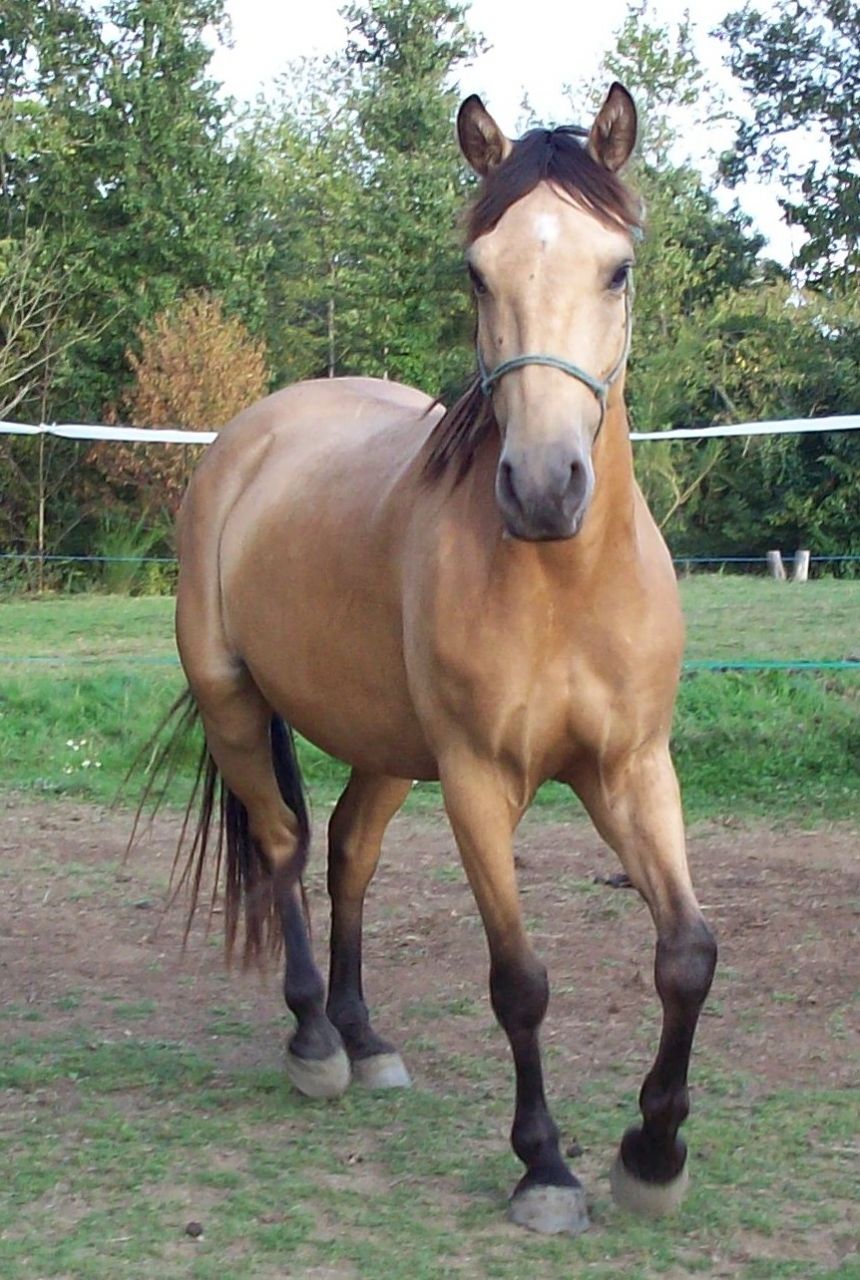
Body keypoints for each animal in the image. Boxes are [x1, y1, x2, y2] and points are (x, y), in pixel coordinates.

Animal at [165, 83, 717, 1237]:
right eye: (477, 271)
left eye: (617, 267)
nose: (544, 486)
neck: (562, 584)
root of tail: (253, 436)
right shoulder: (476, 781)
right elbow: (520, 981)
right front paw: (544, 1166)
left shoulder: (633, 768)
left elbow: (686, 954)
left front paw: (651, 1153)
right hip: (235, 707)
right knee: (282, 848)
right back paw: (315, 1041)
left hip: (383, 745)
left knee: (346, 853)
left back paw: (364, 1034)